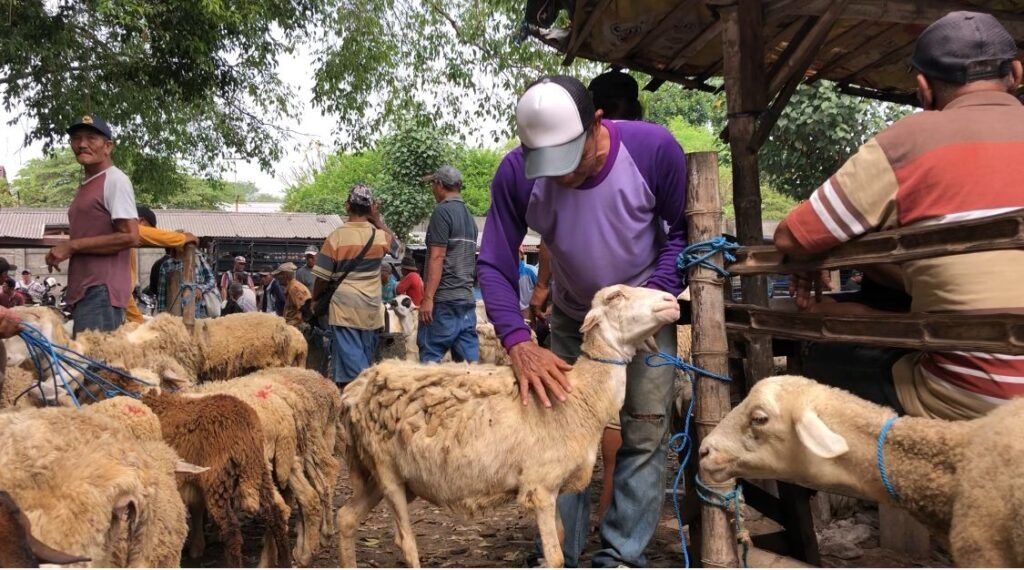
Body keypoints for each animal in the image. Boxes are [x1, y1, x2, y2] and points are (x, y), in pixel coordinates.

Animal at [139, 390, 292, 568]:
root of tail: (246, 427)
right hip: (260, 471)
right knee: (276, 515)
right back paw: (286, 562)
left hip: (218, 479)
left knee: (231, 530)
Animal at [335, 284, 681, 568]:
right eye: (615, 296)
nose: (672, 301)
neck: (579, 395)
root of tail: (357, 386)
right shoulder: (540, 486)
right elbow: (556, 557)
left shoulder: (549, 486)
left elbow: (559, 537)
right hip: (386, 470)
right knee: (405, 544)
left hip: (380, 474)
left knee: (346, 518)